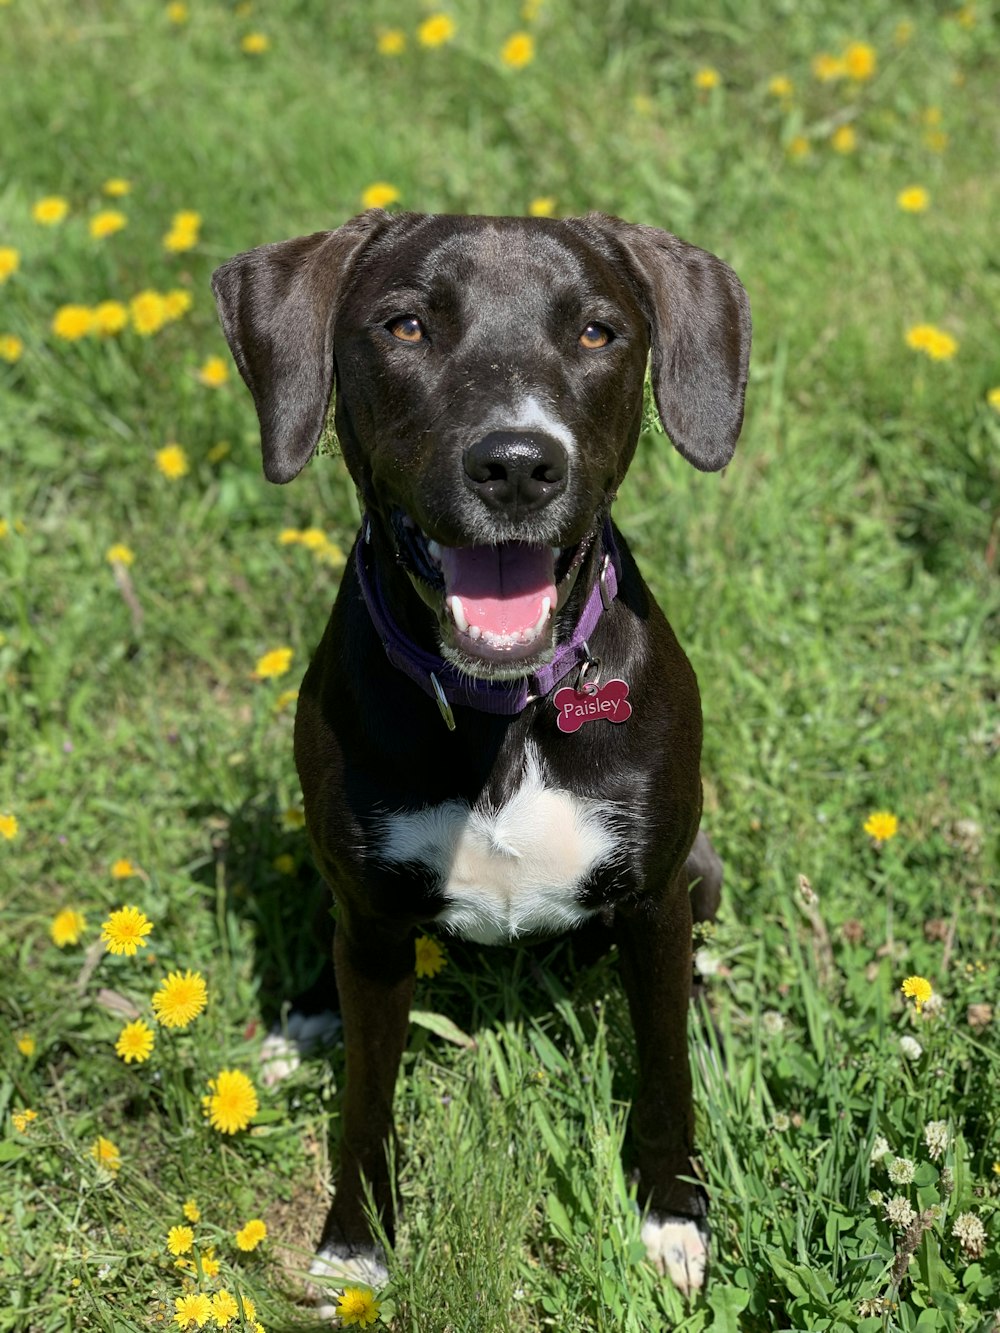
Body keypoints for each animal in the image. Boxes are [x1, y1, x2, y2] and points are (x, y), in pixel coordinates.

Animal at [213, 210, 752, 1301]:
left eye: (596, 331)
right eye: (406, 325)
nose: (515, 464)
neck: (499, 702)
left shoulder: (655, 899)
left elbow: (665, 1069)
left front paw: (672, 1212)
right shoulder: (375, 922)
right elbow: (365, 1100)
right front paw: (355, 1242)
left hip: (701, 868)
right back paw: (303, 1017)